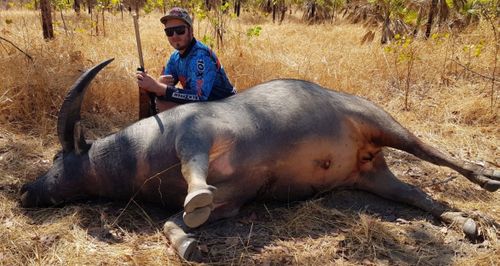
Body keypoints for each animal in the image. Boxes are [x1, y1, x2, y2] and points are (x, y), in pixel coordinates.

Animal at [18, 58, 496, 260]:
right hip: (371, 176)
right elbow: (176, 221)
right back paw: (466, 223)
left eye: (58, 158)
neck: (142, 153)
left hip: (386, 125)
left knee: (434, 154)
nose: (26, 192)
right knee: (415, 194)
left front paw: (194, 201)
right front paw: (188, 243)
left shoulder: (193, 139)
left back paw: (487, 178)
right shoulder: (231, 202)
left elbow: (194, 179)